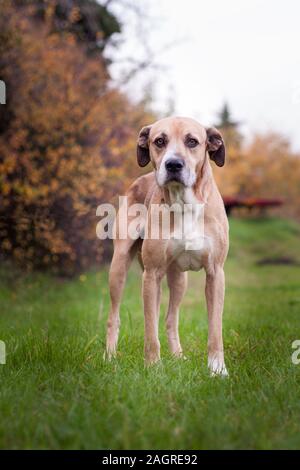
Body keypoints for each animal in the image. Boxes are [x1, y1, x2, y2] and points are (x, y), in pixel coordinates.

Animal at [104, 115, 229, 376]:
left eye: (192, 141)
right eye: (159, 141)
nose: (173, 165)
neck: (184, 203)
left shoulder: (216, 273)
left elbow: (215, 328)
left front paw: (217, 369)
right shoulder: (152, 274)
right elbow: (150, 330)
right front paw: (153, 367)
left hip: (179, 278)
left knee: (171, 318)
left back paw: (178, 356)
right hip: (119, 266)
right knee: (115, 316)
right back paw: (109, 357)